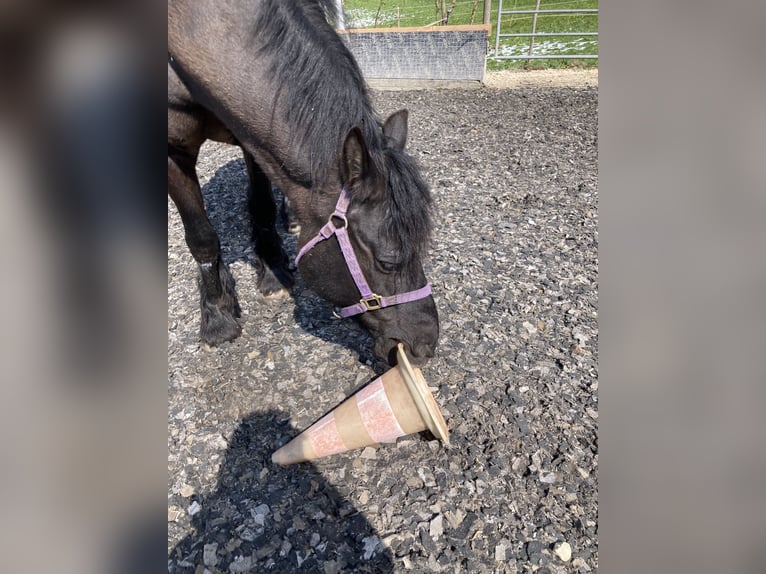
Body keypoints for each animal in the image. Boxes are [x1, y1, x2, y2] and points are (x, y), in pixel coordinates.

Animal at [170, 0, 440, 366]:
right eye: (388, 262)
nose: (426, 344)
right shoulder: (173, 150)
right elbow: (201, 237)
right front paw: (217, 317)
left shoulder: (253, 133)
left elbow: (263, 206)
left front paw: (272, 271)